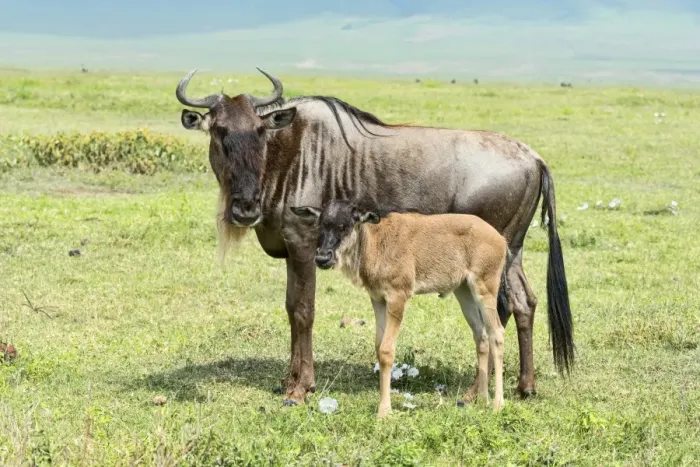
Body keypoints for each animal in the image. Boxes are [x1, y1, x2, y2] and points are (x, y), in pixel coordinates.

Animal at [291, 200, 508, 417]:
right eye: (321, 224)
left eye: (345, 225)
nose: (322, 258)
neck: (375, 242)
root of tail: (500, 239)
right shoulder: (378, 299)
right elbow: (378, 347)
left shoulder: (398, 297)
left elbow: (387, 350)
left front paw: (384, 411)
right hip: (464, 292)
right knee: (481, 336)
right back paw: (482, 400)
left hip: (485, 287)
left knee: (496, 332)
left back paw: (498, 403)